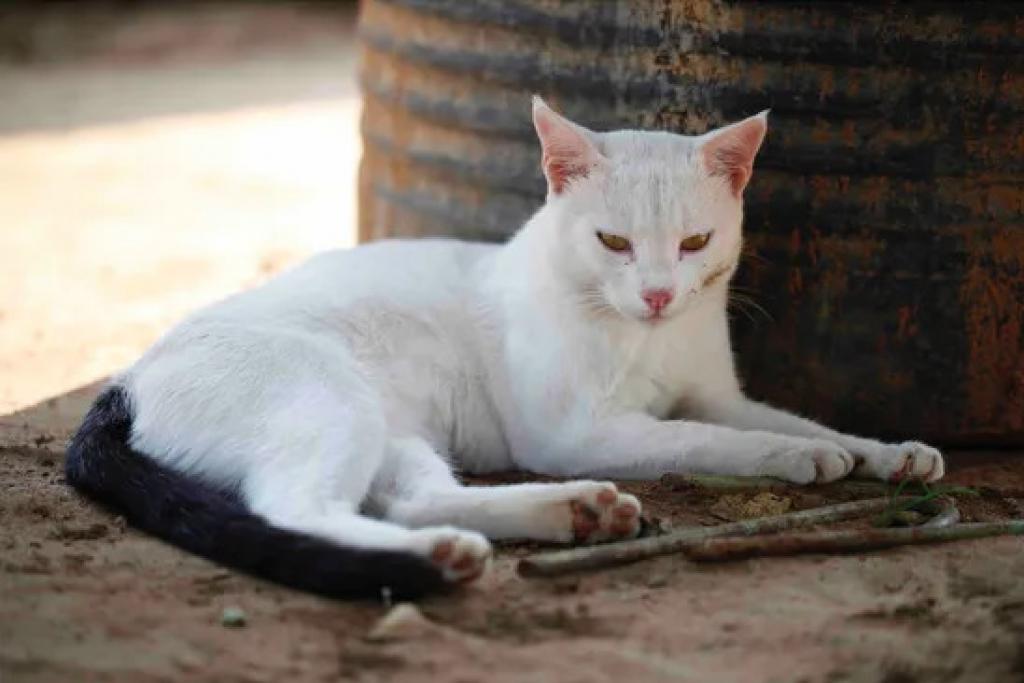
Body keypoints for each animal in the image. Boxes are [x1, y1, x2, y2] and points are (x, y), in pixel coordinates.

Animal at [64, 96, 942, 598]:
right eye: (614, 241)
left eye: (695, 243)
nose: (660, 294)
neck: (645, 338)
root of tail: (124, 380)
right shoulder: (574, 432)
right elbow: (706, 438)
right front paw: (793, 458)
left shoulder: (717, 391)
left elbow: (789, 418)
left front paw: (888, 452)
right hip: (330, 396)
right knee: (294, 507)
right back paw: (440, 557)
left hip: (394, 431)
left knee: (407, 497)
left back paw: (567, 513)